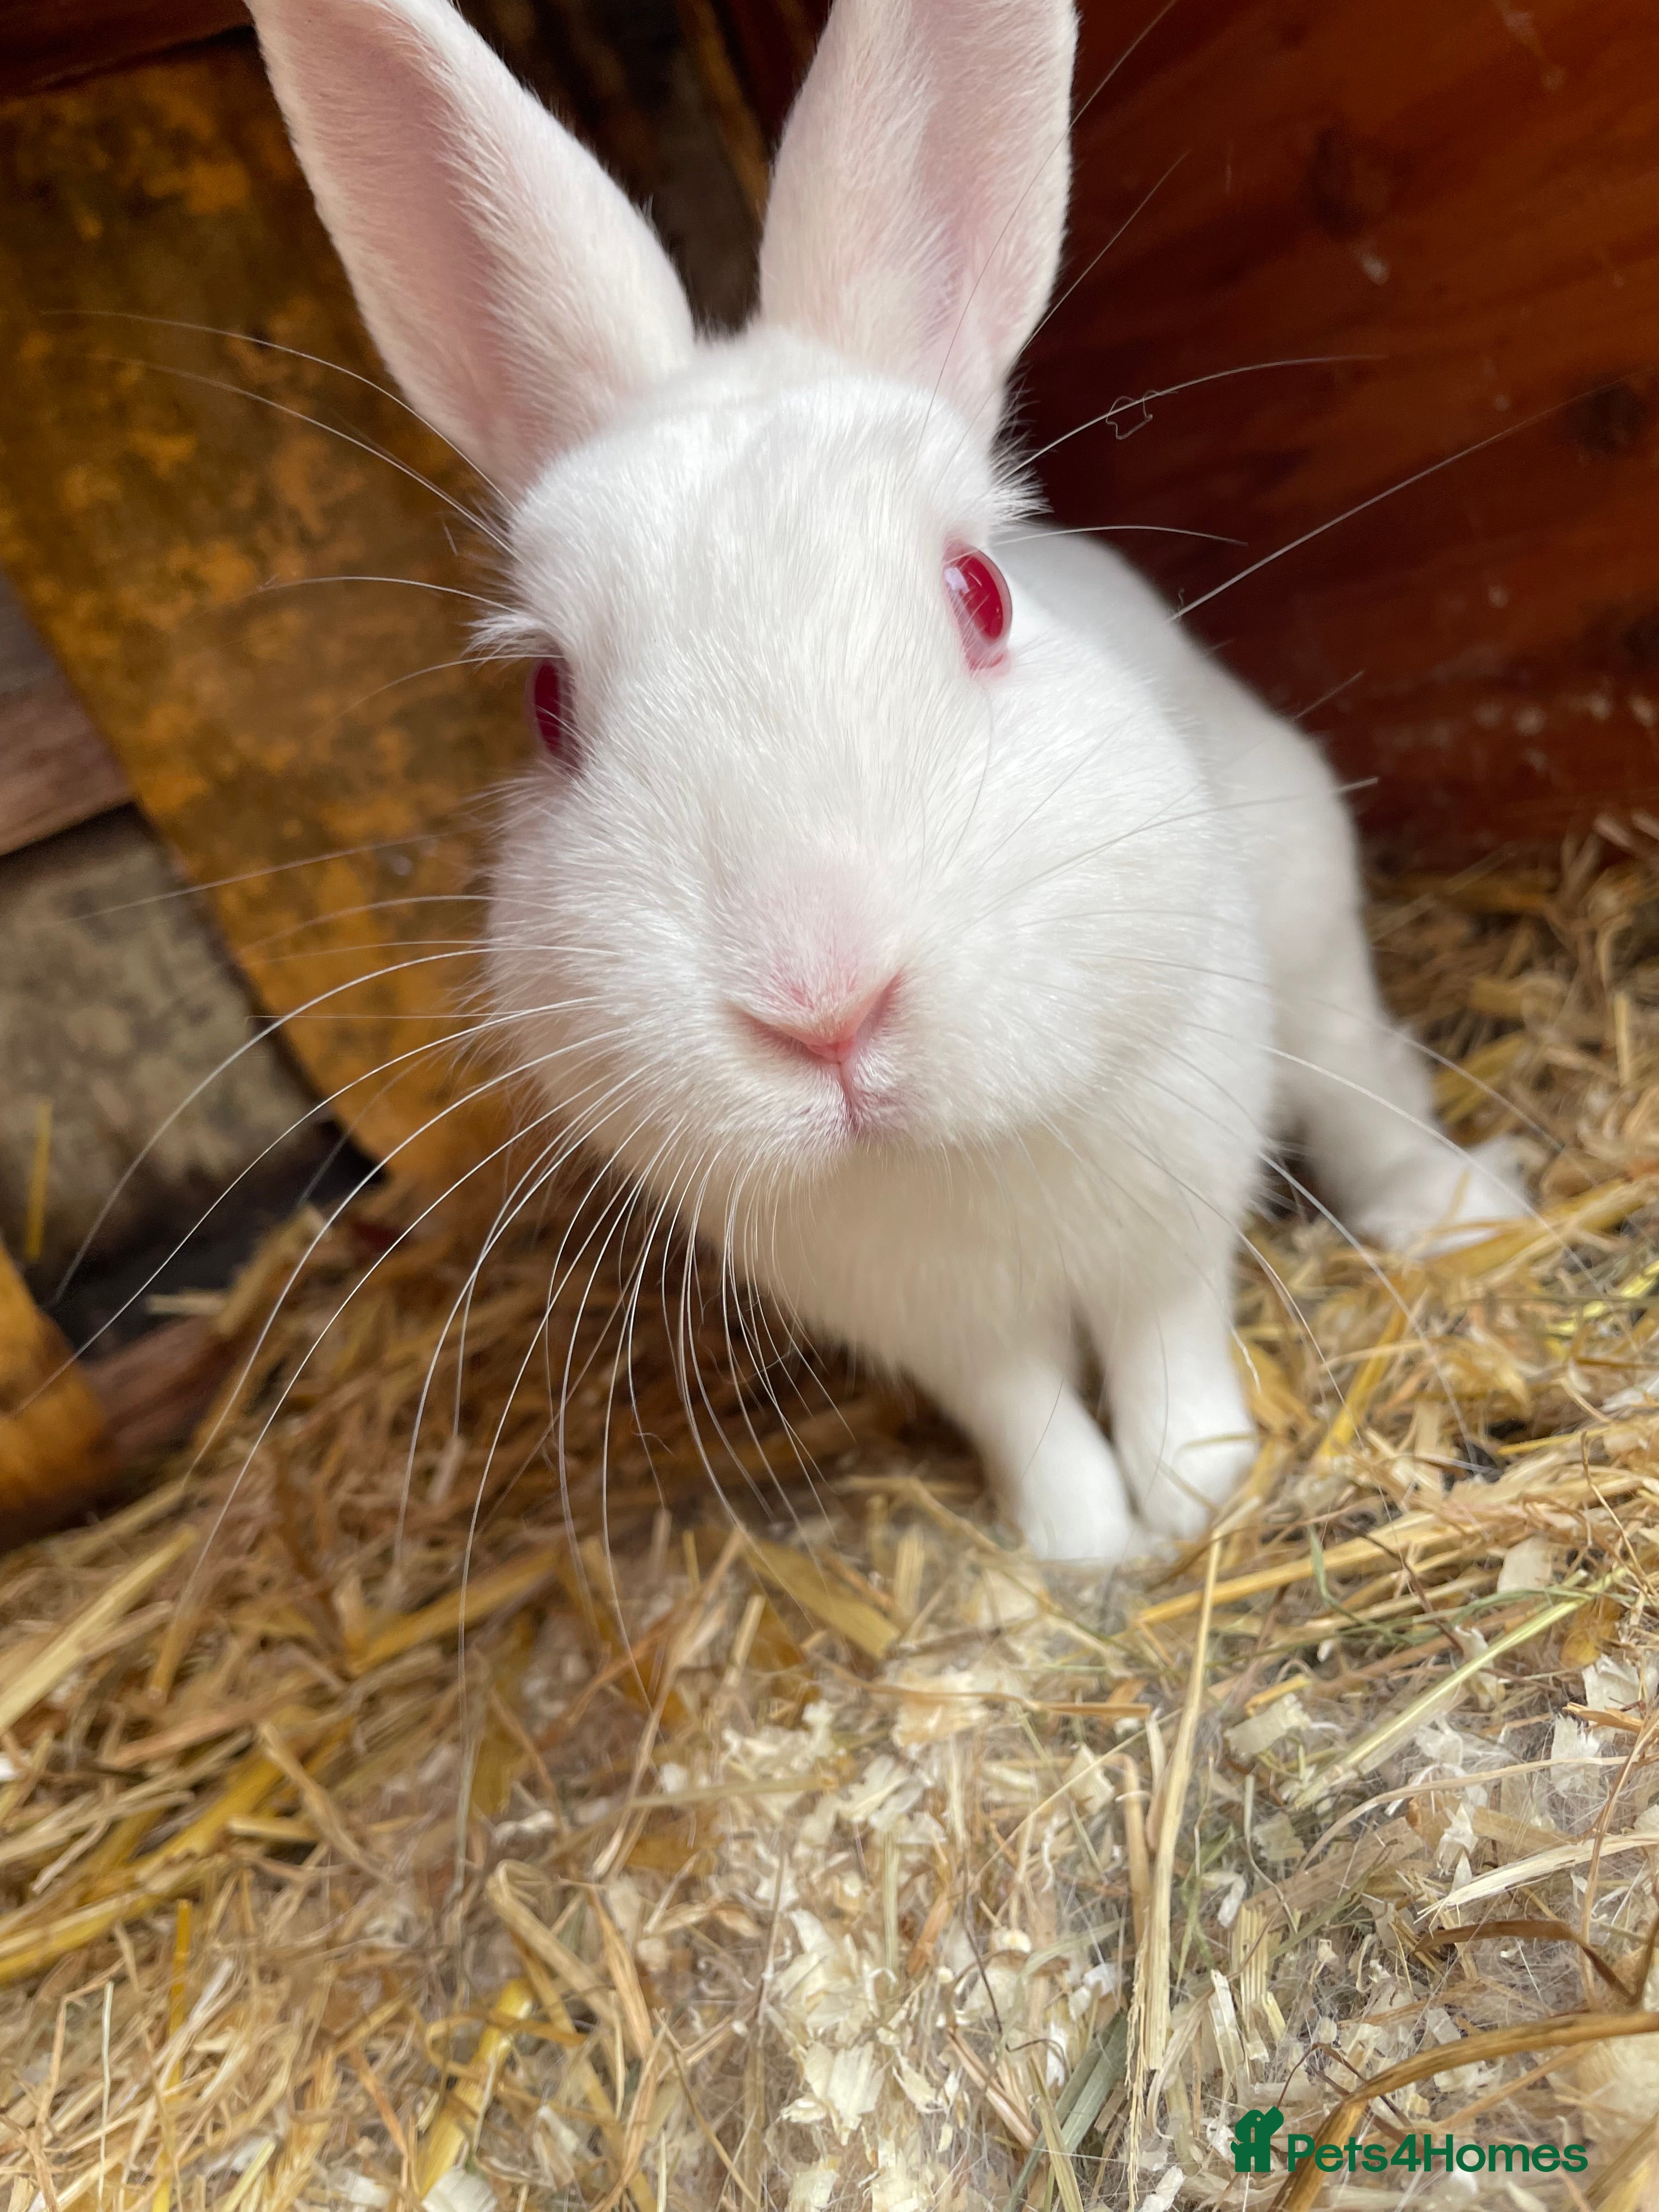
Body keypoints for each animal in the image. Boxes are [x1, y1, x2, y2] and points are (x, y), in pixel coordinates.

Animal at [246, 0, 1527, 1562]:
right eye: (550, 706)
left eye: (979, 594)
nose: (823, 1004)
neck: (934, 1160)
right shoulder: (934, 1326)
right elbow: (1029, 1416)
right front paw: (1077, 1550)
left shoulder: (1174, 1191)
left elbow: (1166, 1346)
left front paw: (1197, 1496)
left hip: (1308, 919)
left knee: (1361, 1076)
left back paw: (1448, 1209)